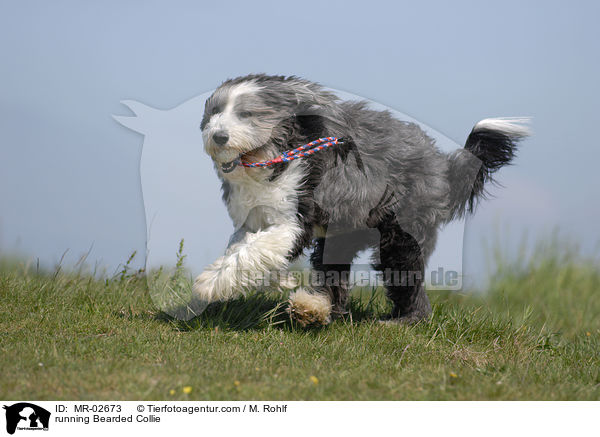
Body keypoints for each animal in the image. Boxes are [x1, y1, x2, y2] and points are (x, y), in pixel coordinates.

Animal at [193, 75, 528, 326]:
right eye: (215, 113)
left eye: (246, 114)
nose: (218, 136)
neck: (277, 157)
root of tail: (443, 169)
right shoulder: (253, 220)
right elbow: (247, 250)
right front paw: (277, 281)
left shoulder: (295, 215)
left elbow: (253, 251)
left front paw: (210, 283)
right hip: (346, 228)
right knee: (334, 273)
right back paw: (312, 307)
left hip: (399, 233)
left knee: (406, 278)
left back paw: (402, 321)